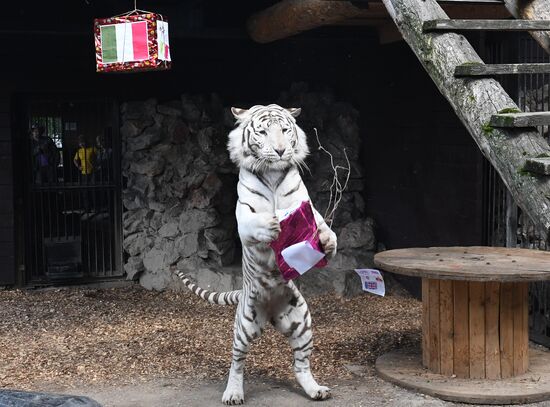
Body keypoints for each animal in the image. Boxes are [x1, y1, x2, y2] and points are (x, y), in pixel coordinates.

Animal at [177, 103, 338, 404]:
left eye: (285, 129)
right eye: (263, 132)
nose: (280, 151)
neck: (273, 174)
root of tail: (271, 312)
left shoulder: (306, 204)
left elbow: (321, 223)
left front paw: (328, 241)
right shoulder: (243, 216)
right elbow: (255, 223)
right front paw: (271, 225)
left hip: (302, 322)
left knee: (300, 364)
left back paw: (315, 389)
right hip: (244, 326)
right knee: (237, 362)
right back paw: (233, 393)